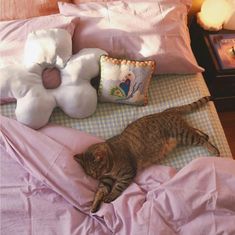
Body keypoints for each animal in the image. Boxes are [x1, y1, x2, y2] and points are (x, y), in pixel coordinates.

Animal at [73, 96, 218, 213]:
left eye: (95, 171)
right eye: (90, 174)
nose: (96, 177)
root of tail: (166, 111)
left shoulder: (127, 173)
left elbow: (117, 187)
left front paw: (110, 197)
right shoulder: (106, 180)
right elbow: (100, 191)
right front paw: (94, 205)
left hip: (183, 135)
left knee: (201, 139)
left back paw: (214, 150)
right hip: (184, 134)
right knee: (198, 132)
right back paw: (206, 135)